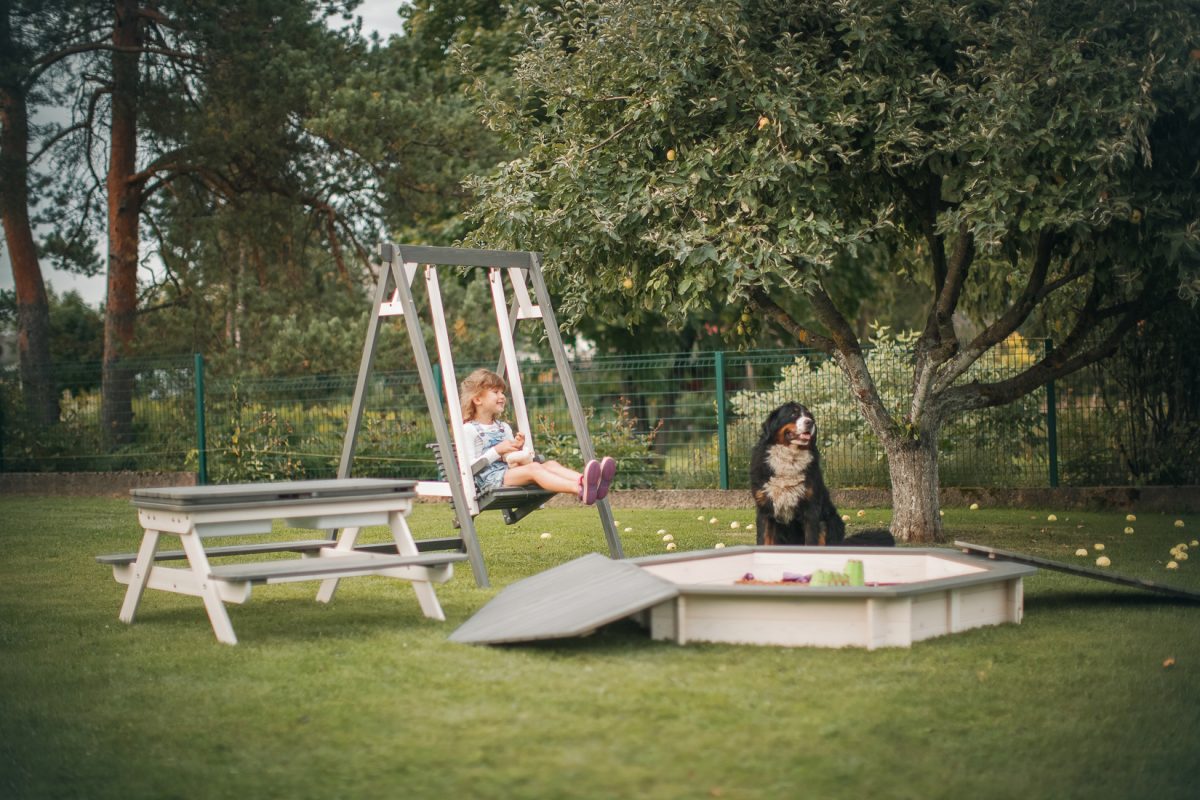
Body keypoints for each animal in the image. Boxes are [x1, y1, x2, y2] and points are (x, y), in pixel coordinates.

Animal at [748, 402, 892, 546]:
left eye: (809, 415)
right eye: (793, 414)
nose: (810, 422)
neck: (790, 460)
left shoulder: (811, 510)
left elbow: (811, 541)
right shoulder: (765, 511)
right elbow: (763, 540)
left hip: (829, 522)